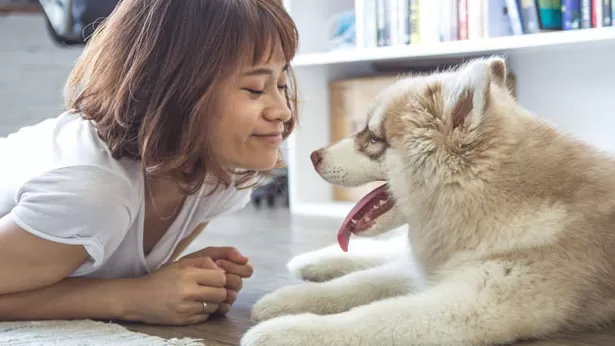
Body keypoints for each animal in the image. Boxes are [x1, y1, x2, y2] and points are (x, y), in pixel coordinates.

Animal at [242, 55, 615, 344]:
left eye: (373, 139)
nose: (313, 156)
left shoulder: (469, 303)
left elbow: (373, 317)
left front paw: (284, 332)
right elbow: (358, 283)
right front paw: (289, 298)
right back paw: (313, 261)